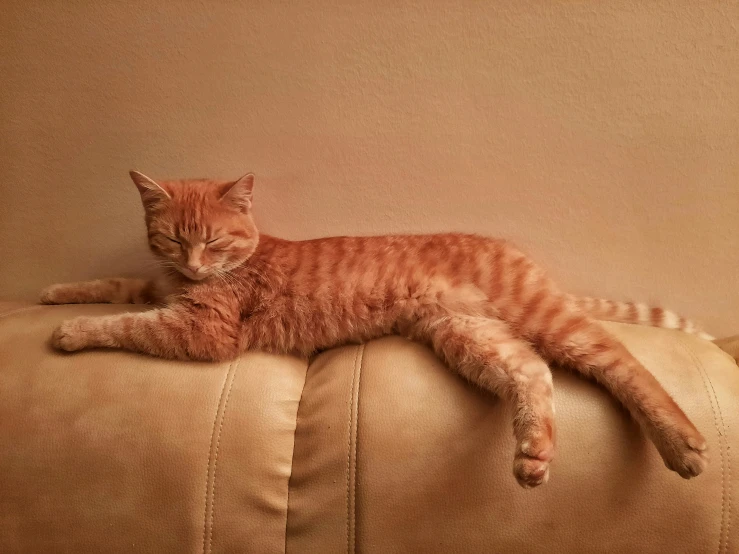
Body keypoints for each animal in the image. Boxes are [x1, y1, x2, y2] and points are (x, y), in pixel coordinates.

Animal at [40, 169, 712, 488]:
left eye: (214, 239)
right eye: (175, 238)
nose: (195, 264)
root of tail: (507, 247)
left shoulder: (205, 330)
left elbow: (132, 324)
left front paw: (72, 332)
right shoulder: (161, 287)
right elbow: (118, 287)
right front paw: (55, 293)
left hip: (539, 316)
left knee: (623, 362)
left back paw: (682, 443)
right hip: (466, 334)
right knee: (532, 370)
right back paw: (532, 455)